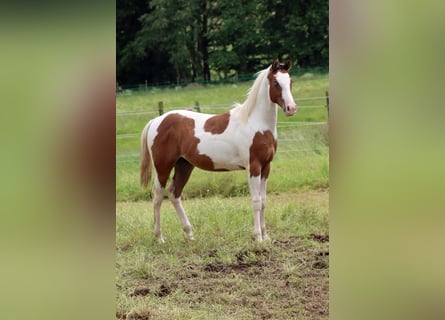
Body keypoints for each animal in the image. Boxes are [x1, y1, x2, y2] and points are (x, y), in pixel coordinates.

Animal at [140, 58, 296, 242]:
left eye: (290, 81)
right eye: (276, 82)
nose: (291, 108)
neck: (256, 124)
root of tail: (156, 120)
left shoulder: (266, 167)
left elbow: (264, 201)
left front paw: (266, 236)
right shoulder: (254, 167)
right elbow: (256, 201)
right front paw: (258, 237)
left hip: (184, 165)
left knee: (174, 193)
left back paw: (190, 234)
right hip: (163, 167)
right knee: (157, 196)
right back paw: (159, 238)